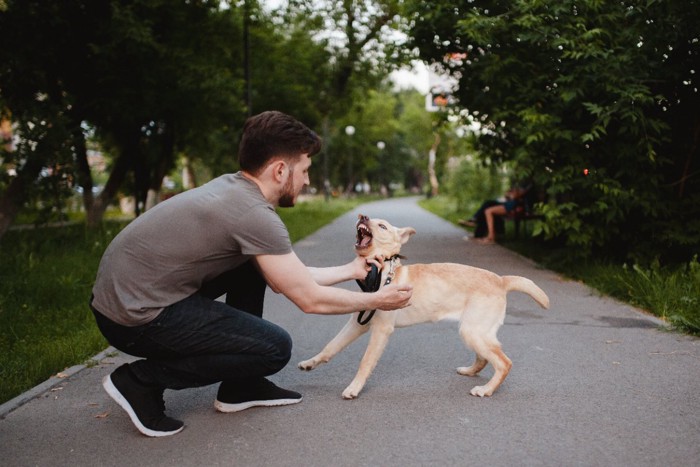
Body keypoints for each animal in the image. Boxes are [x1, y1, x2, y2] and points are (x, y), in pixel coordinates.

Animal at [298, 215, 548, 398]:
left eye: (382, 226)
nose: (363, 216)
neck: (381, 270)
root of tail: (501, 279)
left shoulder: (381, 329)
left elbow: (365, 361)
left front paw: (354, 388)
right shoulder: (358, 322)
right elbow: (331, 346)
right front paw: (311, 363)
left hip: (473, 331)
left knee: (504, 363)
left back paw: (486, 390)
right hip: (474, 331)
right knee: (486, 357)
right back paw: (470, 372)